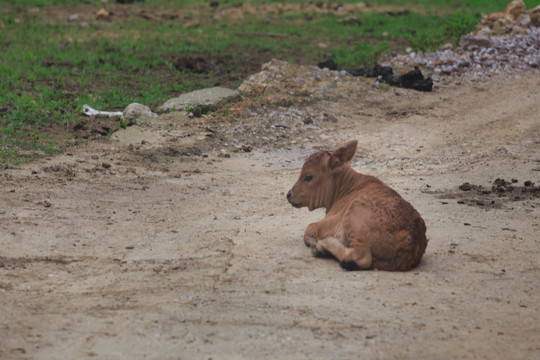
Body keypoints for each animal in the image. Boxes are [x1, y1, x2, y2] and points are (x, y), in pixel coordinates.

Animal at [286, 141, 426, 270]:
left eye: (308, 176)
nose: (289, 194)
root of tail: (411, 239)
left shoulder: (330, 222)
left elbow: (309, 229)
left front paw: (315, 242)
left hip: (354, 217)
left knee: (360, 257)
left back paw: (322, 246)